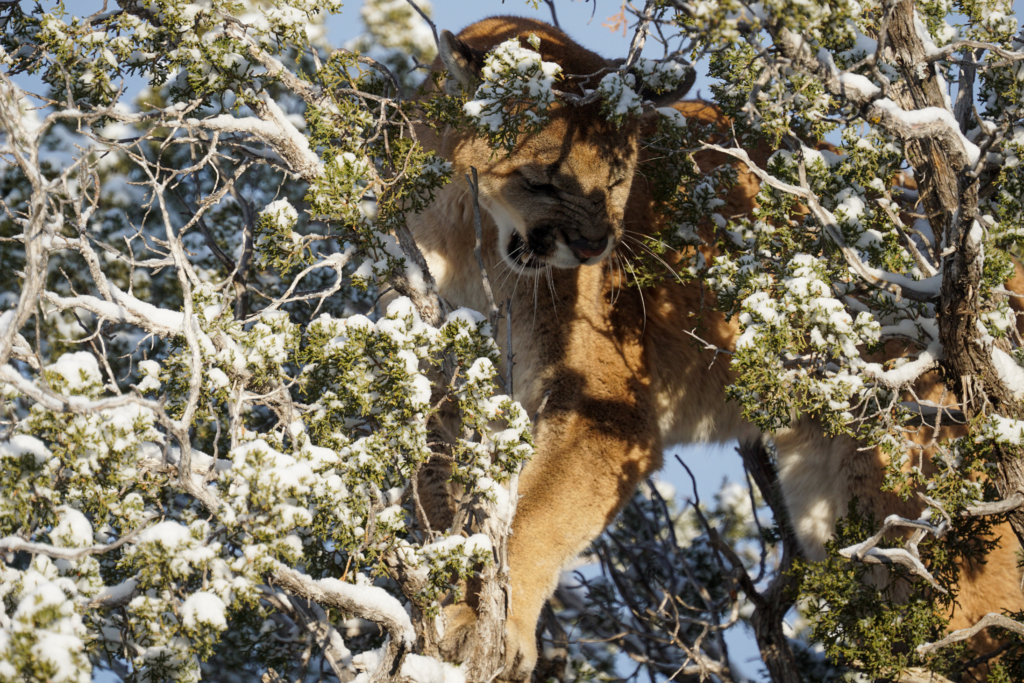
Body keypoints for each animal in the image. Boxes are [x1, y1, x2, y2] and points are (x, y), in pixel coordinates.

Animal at [405, 15, 1024, 680]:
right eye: (543, 178)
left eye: (619, 177)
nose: (596, 245)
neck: (471, 237)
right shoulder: (442, 388)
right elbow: (437, 493)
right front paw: (446, 596)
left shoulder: (602, 407)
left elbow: (537, 515)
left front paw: (489, 623)